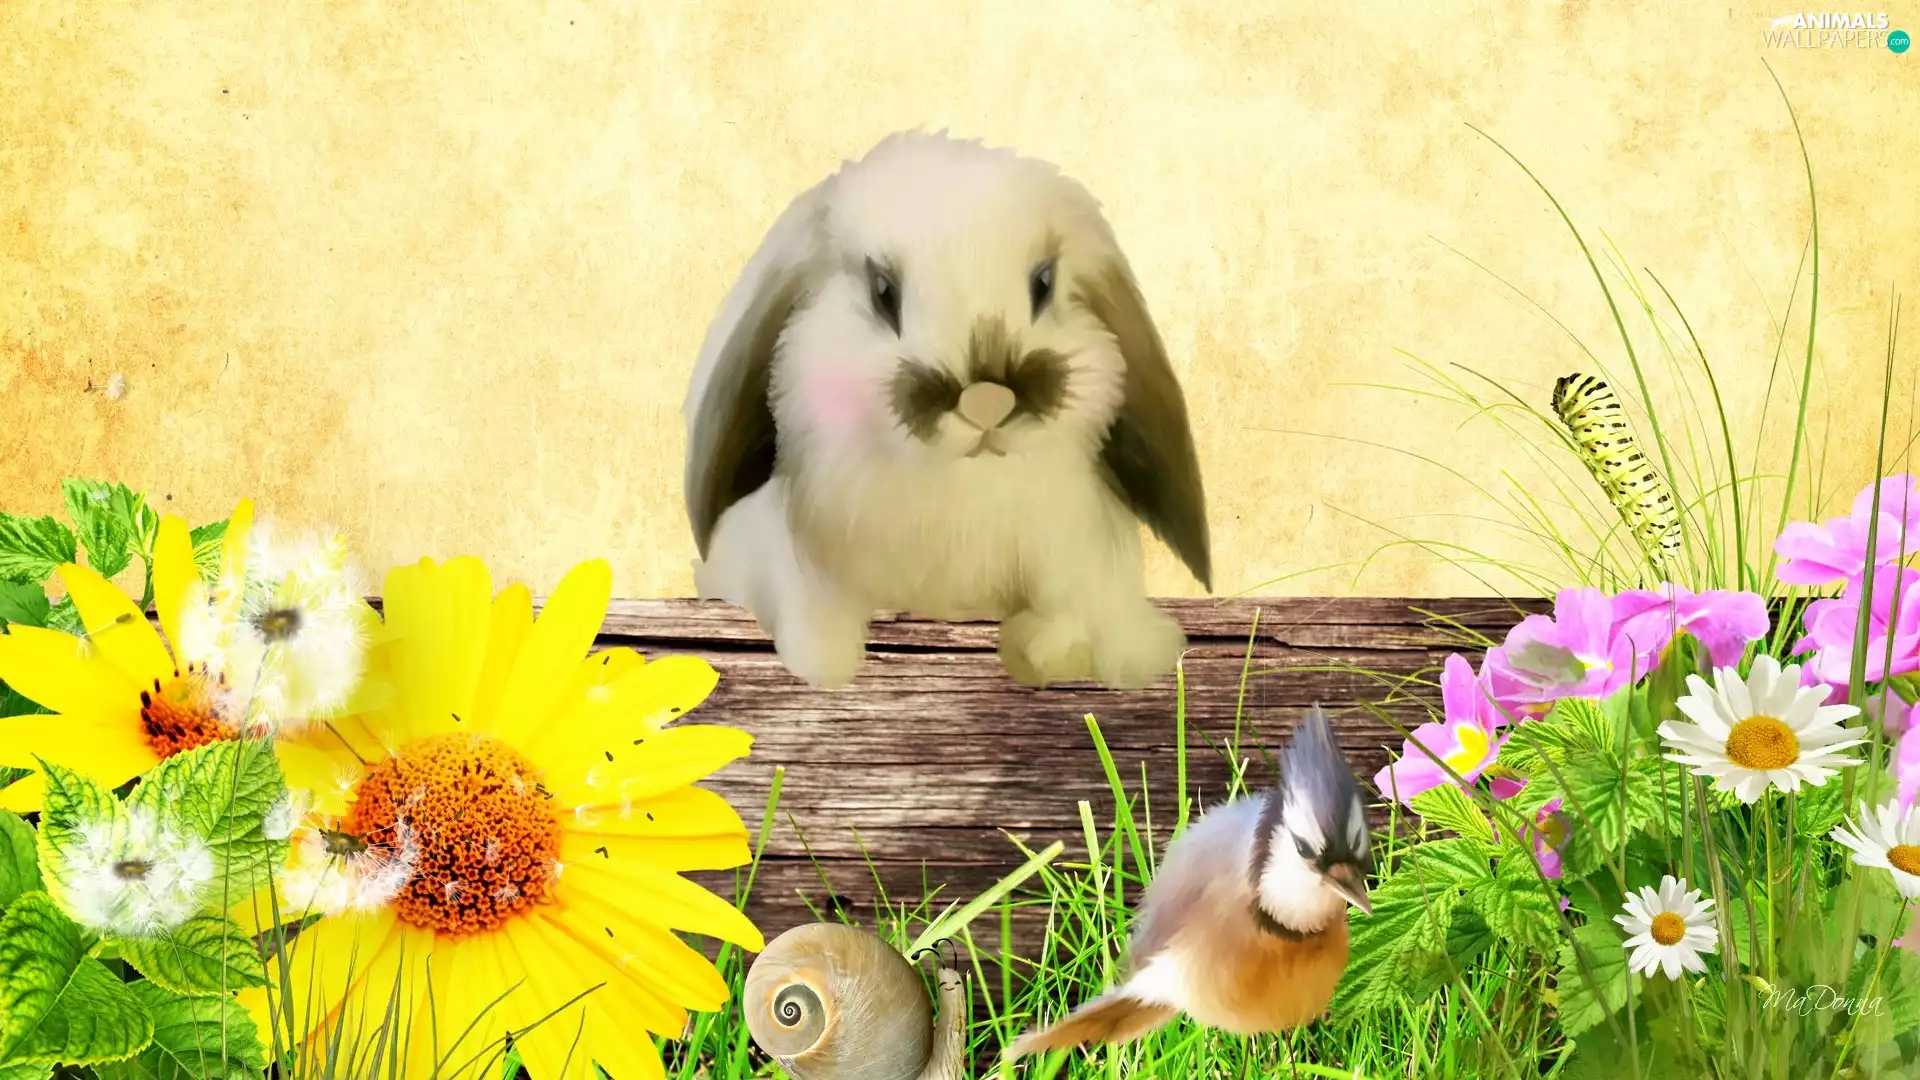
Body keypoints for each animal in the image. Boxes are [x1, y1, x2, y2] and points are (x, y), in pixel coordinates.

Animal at [683, 130, 1211, 691]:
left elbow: (1094, 612)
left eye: (1044, 283)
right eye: (883, 291)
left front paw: (1065, 653)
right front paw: (825, 661)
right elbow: (811, 615)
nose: (987, 400)